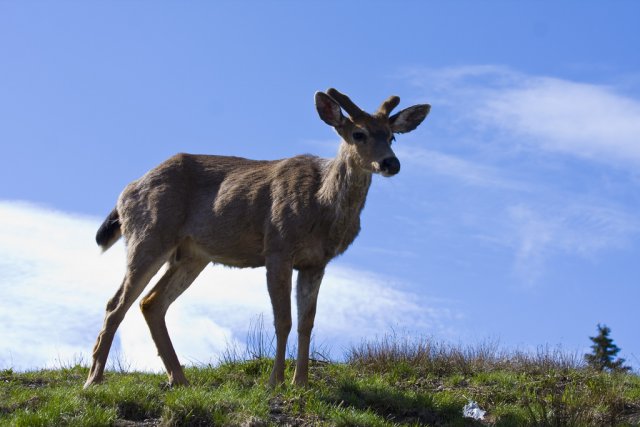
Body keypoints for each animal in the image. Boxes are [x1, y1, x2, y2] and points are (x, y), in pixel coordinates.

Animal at [82, 88, 428, 390]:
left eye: (392, 136)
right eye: (358, 134)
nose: (391, 163)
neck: (321, 205)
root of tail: (126, 191)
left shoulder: (316, 262)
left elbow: (307, 322)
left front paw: (302, 384)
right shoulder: (278, 246)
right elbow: (283, 320)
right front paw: (275, 382)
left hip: (193, 254)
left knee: (151, 303)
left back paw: (179, 379)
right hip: (150, 233)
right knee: (116, 303)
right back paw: (94, 380)